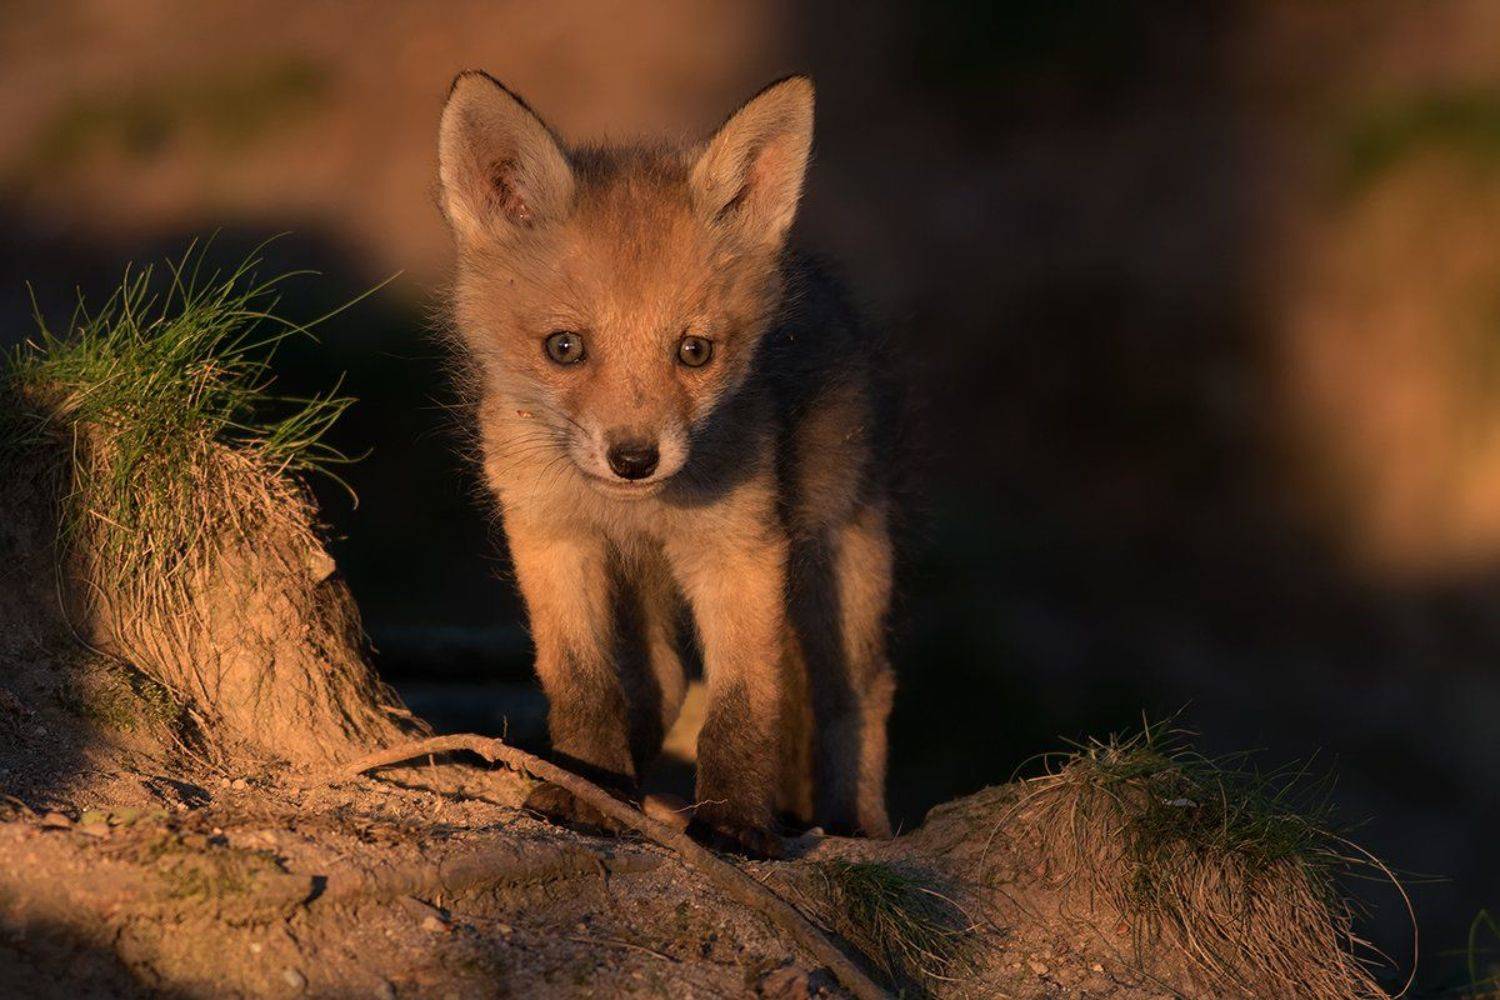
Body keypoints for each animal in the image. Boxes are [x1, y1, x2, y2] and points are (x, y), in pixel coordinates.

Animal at [435, 71, 899, 856]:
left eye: (694, 351)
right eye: (564, 347)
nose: (634, 458)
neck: (636, 512)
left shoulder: (741, 549)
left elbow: (744, 704)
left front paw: (737, 821)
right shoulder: (551, 537)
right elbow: (583, 682)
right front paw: (585, 784)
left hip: (840, 555)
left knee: (857, 694)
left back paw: (855, 825)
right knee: (664, 674)